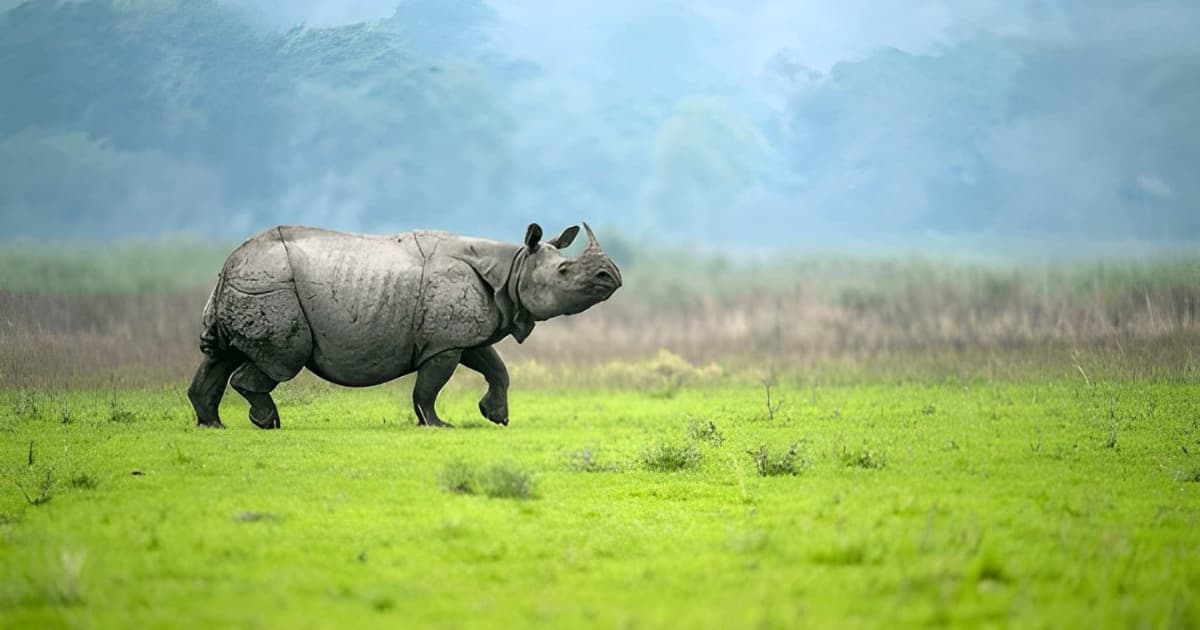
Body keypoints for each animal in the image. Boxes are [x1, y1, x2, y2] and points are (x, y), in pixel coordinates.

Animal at [187, 222, 621, 429]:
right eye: (565, 272)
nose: (612, 277)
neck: (512, 266)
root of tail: (228, 264)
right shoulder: (444, 343)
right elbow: (429, 387)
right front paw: (437, 425)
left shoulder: (462, 333)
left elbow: (497, 368)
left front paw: (495, 416)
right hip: (271, 286)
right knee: (281, 361)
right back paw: (268, 423)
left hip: (248, 283)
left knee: (222, 356)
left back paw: (213, 425)